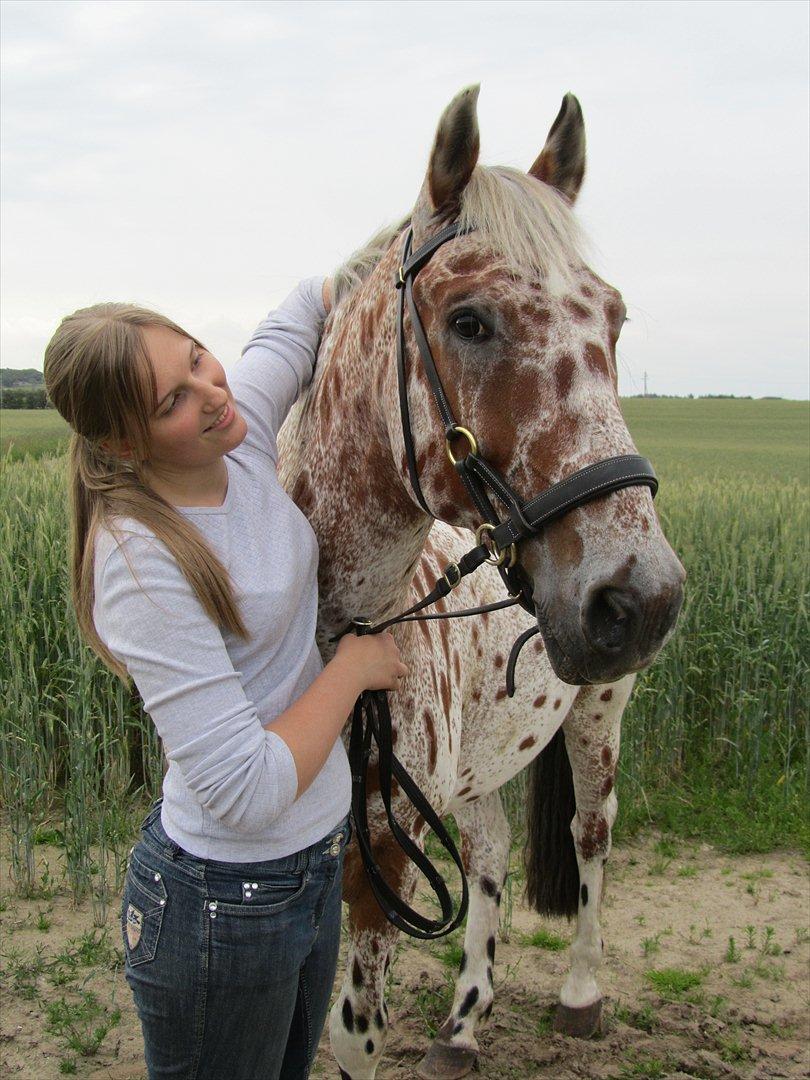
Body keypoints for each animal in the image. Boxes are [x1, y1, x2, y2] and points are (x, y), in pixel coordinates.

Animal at [278, 84, 686, 1080]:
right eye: (469, 320)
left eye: (614, 321)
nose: (640, 597)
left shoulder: (382, 864)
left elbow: (351, 1033)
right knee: (496, 848)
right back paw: (464, 1020)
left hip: (598, 712)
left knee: (591, 832)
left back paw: (579, 995)